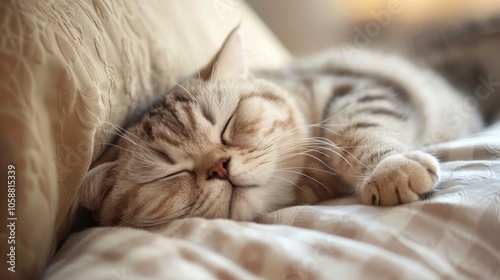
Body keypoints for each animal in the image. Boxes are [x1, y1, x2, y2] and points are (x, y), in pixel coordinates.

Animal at [77, 29, 480, 230]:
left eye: (228, 125)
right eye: (169, 173)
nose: (219, 167)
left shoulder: (357, 88)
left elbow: (353, 131)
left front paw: (390, 168)